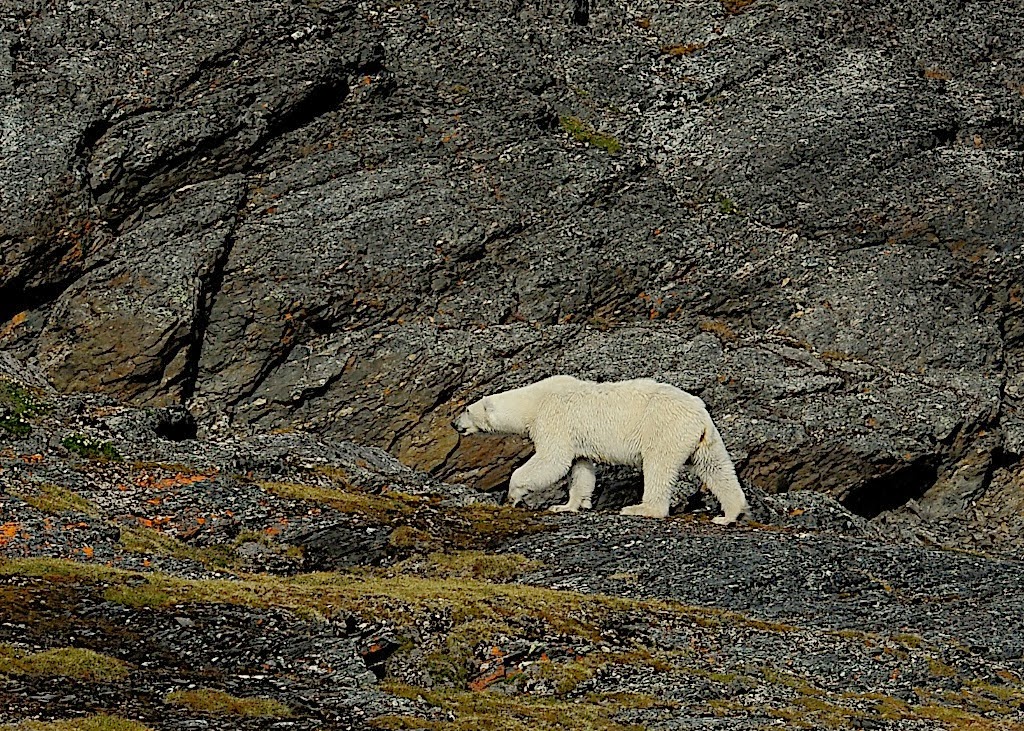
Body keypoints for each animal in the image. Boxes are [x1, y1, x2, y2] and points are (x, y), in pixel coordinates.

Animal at [452, 375, 749, 524]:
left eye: (466, 410)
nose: (454, 424)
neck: (534, 401)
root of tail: (701, 414)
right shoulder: (577, 438)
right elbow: (580, 468)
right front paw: (567, 505)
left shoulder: (555, 419)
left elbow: (552, 459)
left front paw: (513, 495)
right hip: (704, 439)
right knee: (716, 467)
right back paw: (729, 514)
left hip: (664, 428)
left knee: (658, 467)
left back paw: (640, 509)